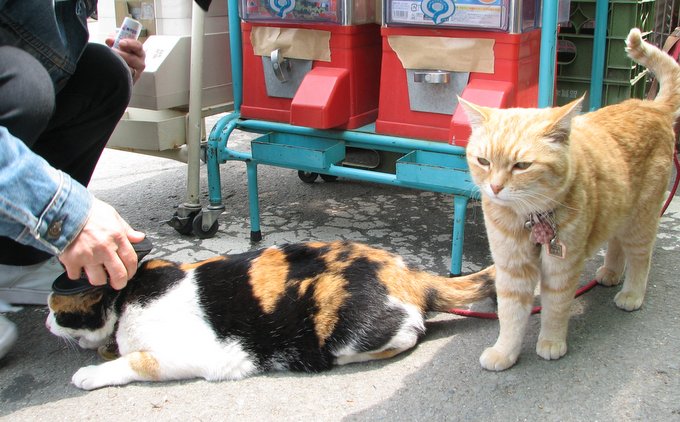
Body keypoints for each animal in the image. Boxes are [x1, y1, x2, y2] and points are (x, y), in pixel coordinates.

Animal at [47, 241, 494, 390]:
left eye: (55, 309)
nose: (46, 322)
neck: (127, 298)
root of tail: (407, 272)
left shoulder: (192, 354)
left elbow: (136, 361)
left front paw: (90, 374)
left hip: (344, 332)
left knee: (408, 332)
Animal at [460, 28, 676, 370]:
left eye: (522, 166)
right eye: (483, 161)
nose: (494, 187)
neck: (530, 219)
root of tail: (650, 106)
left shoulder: (561, 267)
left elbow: (556, 307)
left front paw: (551, 342)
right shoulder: (512, 268)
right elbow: (510, 315)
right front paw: (505, 352)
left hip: (640, 221)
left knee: (641, 257)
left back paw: (631, 294)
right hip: (619, 211)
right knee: (616, 244)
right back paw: (611, 273)